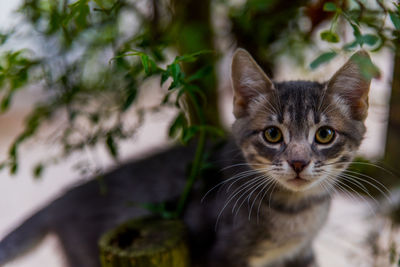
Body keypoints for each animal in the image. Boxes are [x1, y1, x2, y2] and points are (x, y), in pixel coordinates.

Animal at [0, 48, 372, 267]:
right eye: (272, 135)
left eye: (324, 135)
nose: (297, 162)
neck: (296, 213)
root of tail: (64, 197)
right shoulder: (220, 256)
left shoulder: (299, 257)